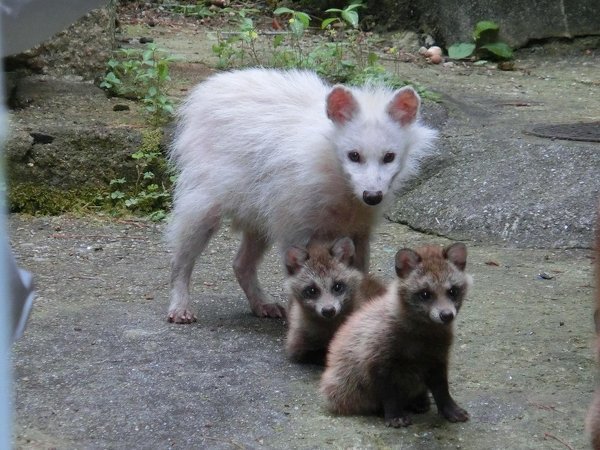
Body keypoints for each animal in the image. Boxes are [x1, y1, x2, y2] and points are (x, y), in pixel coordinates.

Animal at [165, 67, 436, 324]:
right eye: (354, 156)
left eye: (389, 157)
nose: (372, 196)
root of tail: (210, 86)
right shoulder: (295, 228)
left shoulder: (360, 230)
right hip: (206, 200)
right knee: (181, 258)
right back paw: (180, 306)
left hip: (261, 208)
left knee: (241, 263)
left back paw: (262, 303)